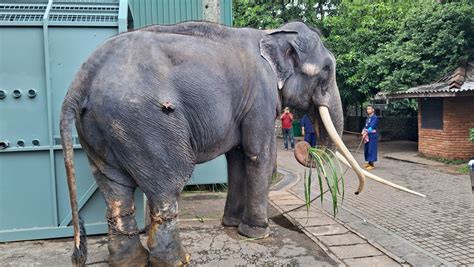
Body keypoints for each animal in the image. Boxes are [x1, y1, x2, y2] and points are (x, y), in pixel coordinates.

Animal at [59, 21, 368, 267]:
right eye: (326, 70)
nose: (305, 148)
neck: (271, 34)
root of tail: (82, 79)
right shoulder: (261, 95)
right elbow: (259, 155)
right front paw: (258, 233)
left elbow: (237, 156)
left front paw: (231, 225)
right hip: (143, 124)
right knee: (168, 184)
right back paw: (177, 260)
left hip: (101, 128)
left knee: (114, 190)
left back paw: (129, 261)